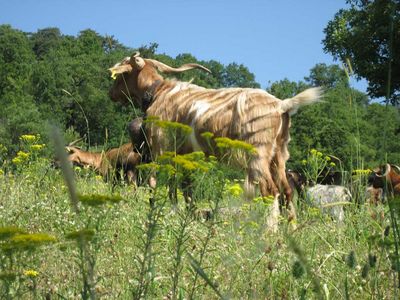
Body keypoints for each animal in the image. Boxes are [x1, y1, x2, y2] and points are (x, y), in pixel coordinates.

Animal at [108, 51, 322, 230]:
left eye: (121, 74)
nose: (111, 94)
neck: (158, 92)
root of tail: (282, 105)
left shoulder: (161, 148)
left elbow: (161, 184)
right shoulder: (185, 155)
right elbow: (186, 188)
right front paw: (186, 216)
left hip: (258, 154)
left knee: (270, 191)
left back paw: (269, 233)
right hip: (279, 155)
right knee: (286, 191)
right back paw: (291, 231)